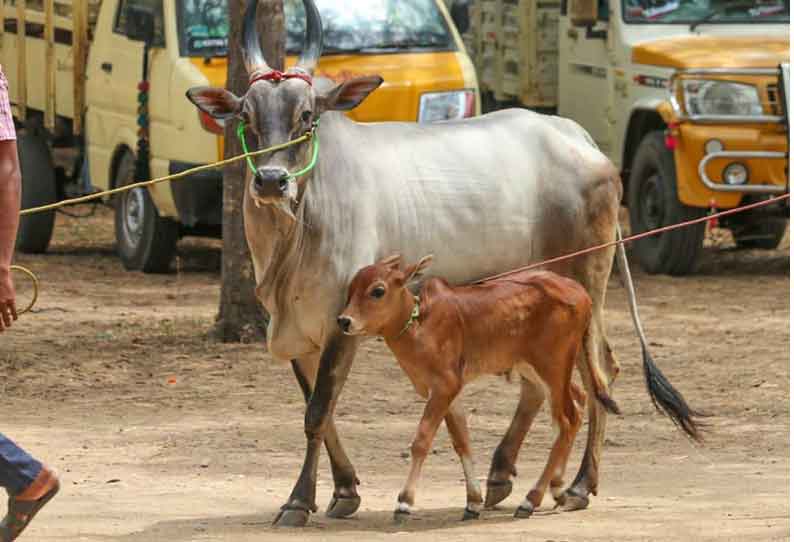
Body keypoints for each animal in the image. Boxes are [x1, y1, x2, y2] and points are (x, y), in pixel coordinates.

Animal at [336, 255, 620, 524]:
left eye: (378, 290)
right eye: (351, 288)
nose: (344, 321)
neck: (419, 324)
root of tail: (581, 293)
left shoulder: (444, 386)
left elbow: (421, 441)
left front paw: (404, 503)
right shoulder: (450, 392)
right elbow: (462, 441)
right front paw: (472, 502)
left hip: (553, 366)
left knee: (567, 420)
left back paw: (530, 500)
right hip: (537, 369)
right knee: (576, 406)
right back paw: (558, 489)